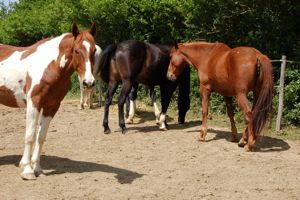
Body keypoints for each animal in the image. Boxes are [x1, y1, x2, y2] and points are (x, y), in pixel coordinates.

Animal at [0, 22, 96, 179]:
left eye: (94, 50)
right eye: (76, 51)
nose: (88, 83)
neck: (49, 66)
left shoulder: (52, 106)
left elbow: (41, 136)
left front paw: (37, 168)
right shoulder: (34, 103)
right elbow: (30, 135)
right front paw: (27, 170)